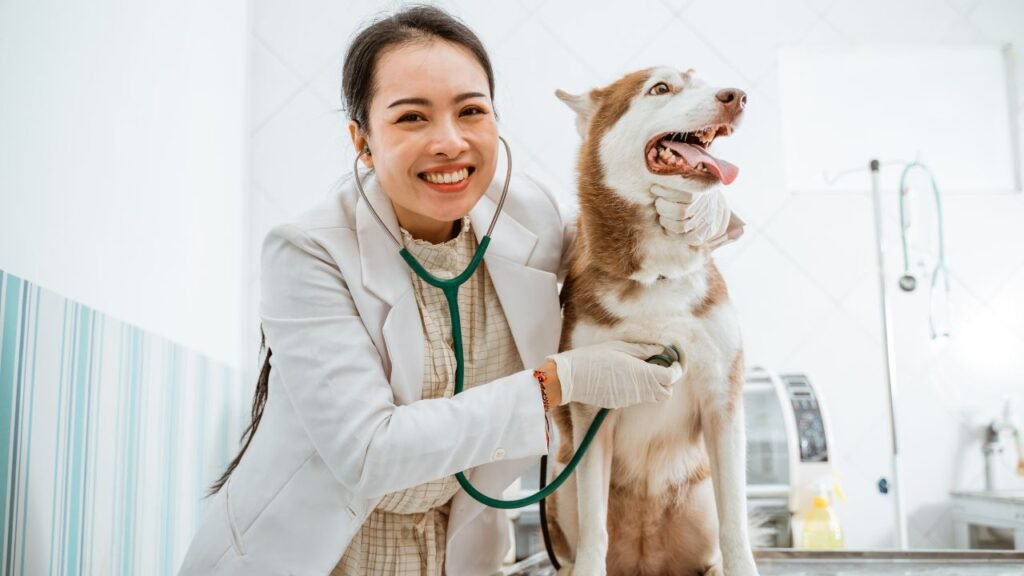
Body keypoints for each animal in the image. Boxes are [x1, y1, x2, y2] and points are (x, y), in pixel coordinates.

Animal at [544, 68, 761, 573]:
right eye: (660, 88)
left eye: (701, 80)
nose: (737, 96)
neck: (658, 276)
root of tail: (648, 561)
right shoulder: (591, 410)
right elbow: (594, 531)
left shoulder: (722, 401)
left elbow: (736, 526)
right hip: (561, 482)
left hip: (699, 491)